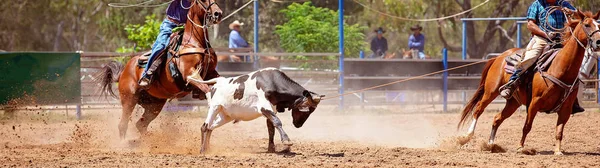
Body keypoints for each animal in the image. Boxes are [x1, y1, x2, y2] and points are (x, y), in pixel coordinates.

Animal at [98, 0, 225, 142]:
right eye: (202, 1)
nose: (218, 13)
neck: (193, 42)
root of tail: (123, 72)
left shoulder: (211, 73)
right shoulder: (190, 74)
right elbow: (207, 89)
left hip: (154, 104)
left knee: (141, 124)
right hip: (129, 100)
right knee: (123, 125)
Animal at [191, 67, 324, 153]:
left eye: (312, 111)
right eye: (306, 110)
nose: (298, 125)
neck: (272, 82)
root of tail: (219, 81)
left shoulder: (271, 110)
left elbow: (271, 128)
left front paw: (271, 149)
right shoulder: (264, 107)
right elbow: (277, 122)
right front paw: (286, 141)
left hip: (226, 116)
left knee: (210, 127)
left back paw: (207, 149)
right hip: (215, 107)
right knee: (204, 127)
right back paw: (202, 150)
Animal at [458, 10, 596, 155]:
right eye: (587, 25)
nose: (597, 42)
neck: (560, 68)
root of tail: (498, 57)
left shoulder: (566, 109)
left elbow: (559, 130)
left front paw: (558, 151)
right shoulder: (534, 103)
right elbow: (527, 126)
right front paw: (521, 148)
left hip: (513, 102)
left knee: (497, 118)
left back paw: (491, 145)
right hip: (491, 92)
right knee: (478, 109)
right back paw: (466, 137)